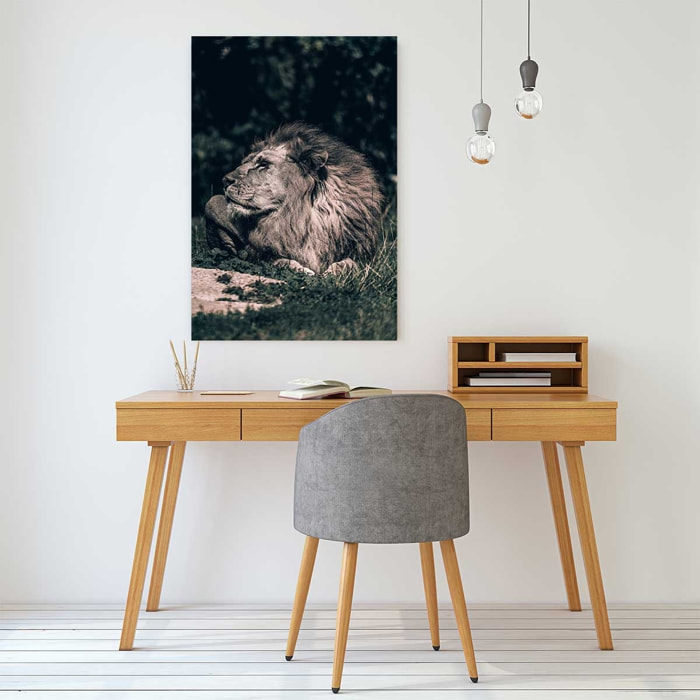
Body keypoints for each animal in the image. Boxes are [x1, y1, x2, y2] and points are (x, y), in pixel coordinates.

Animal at [204, 122, 383, 275]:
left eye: (263, 164)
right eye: (245, 162)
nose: (225, 180)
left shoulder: (362, 255)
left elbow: (350, 264)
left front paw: (333, 272)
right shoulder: (260, 253)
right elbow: (281, 261)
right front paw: (305, 271)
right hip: (211, 203)